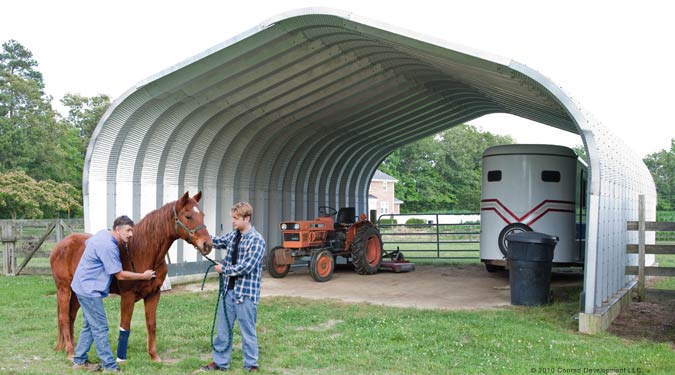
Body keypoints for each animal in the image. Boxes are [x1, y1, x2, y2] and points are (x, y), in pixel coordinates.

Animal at [49, 192, 213, 362]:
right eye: (188, 216)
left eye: (202, 215)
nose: (207, 244)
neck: (140, 252)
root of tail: (60, 245)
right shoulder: (127, 296)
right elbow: (125, 325)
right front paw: (121, 358)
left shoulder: (153, 294)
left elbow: (151, 325)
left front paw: (154, 356)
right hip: (63, 289)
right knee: (64, 318)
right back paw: (70, 352)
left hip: (77, 292)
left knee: (71, 316)